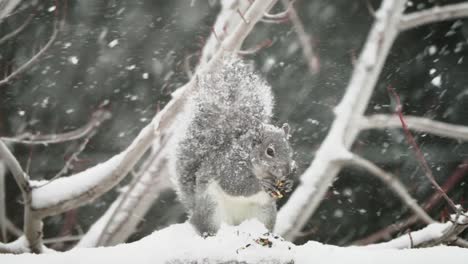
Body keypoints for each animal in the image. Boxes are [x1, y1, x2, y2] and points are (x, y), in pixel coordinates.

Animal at [174, 55, 294, 235]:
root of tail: (194, 213)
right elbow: (235, 185)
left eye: (290, 150)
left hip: (265, 213)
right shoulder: (230, 166)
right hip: (212, 208)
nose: (286, 170)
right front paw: (261, 184)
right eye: (270, 151)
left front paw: (288, 183)